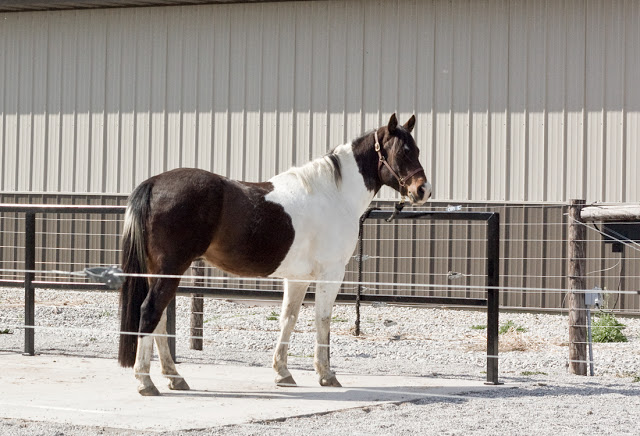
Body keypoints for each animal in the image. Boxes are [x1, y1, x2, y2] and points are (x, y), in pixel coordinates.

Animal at [118, 113, 431, 396]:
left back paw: (174, 378)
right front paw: (326, 375)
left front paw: (283, 373)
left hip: (159, 271)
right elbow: (323, 319)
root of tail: (154, 183)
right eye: (403, 151)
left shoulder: (298, 278)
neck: (334, 195)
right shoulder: (331, 273)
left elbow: (288, 319)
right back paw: (145, 382)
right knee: (150, 312)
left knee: (158, 320)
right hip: (171, 269)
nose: (423, 190)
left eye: (417, 150)